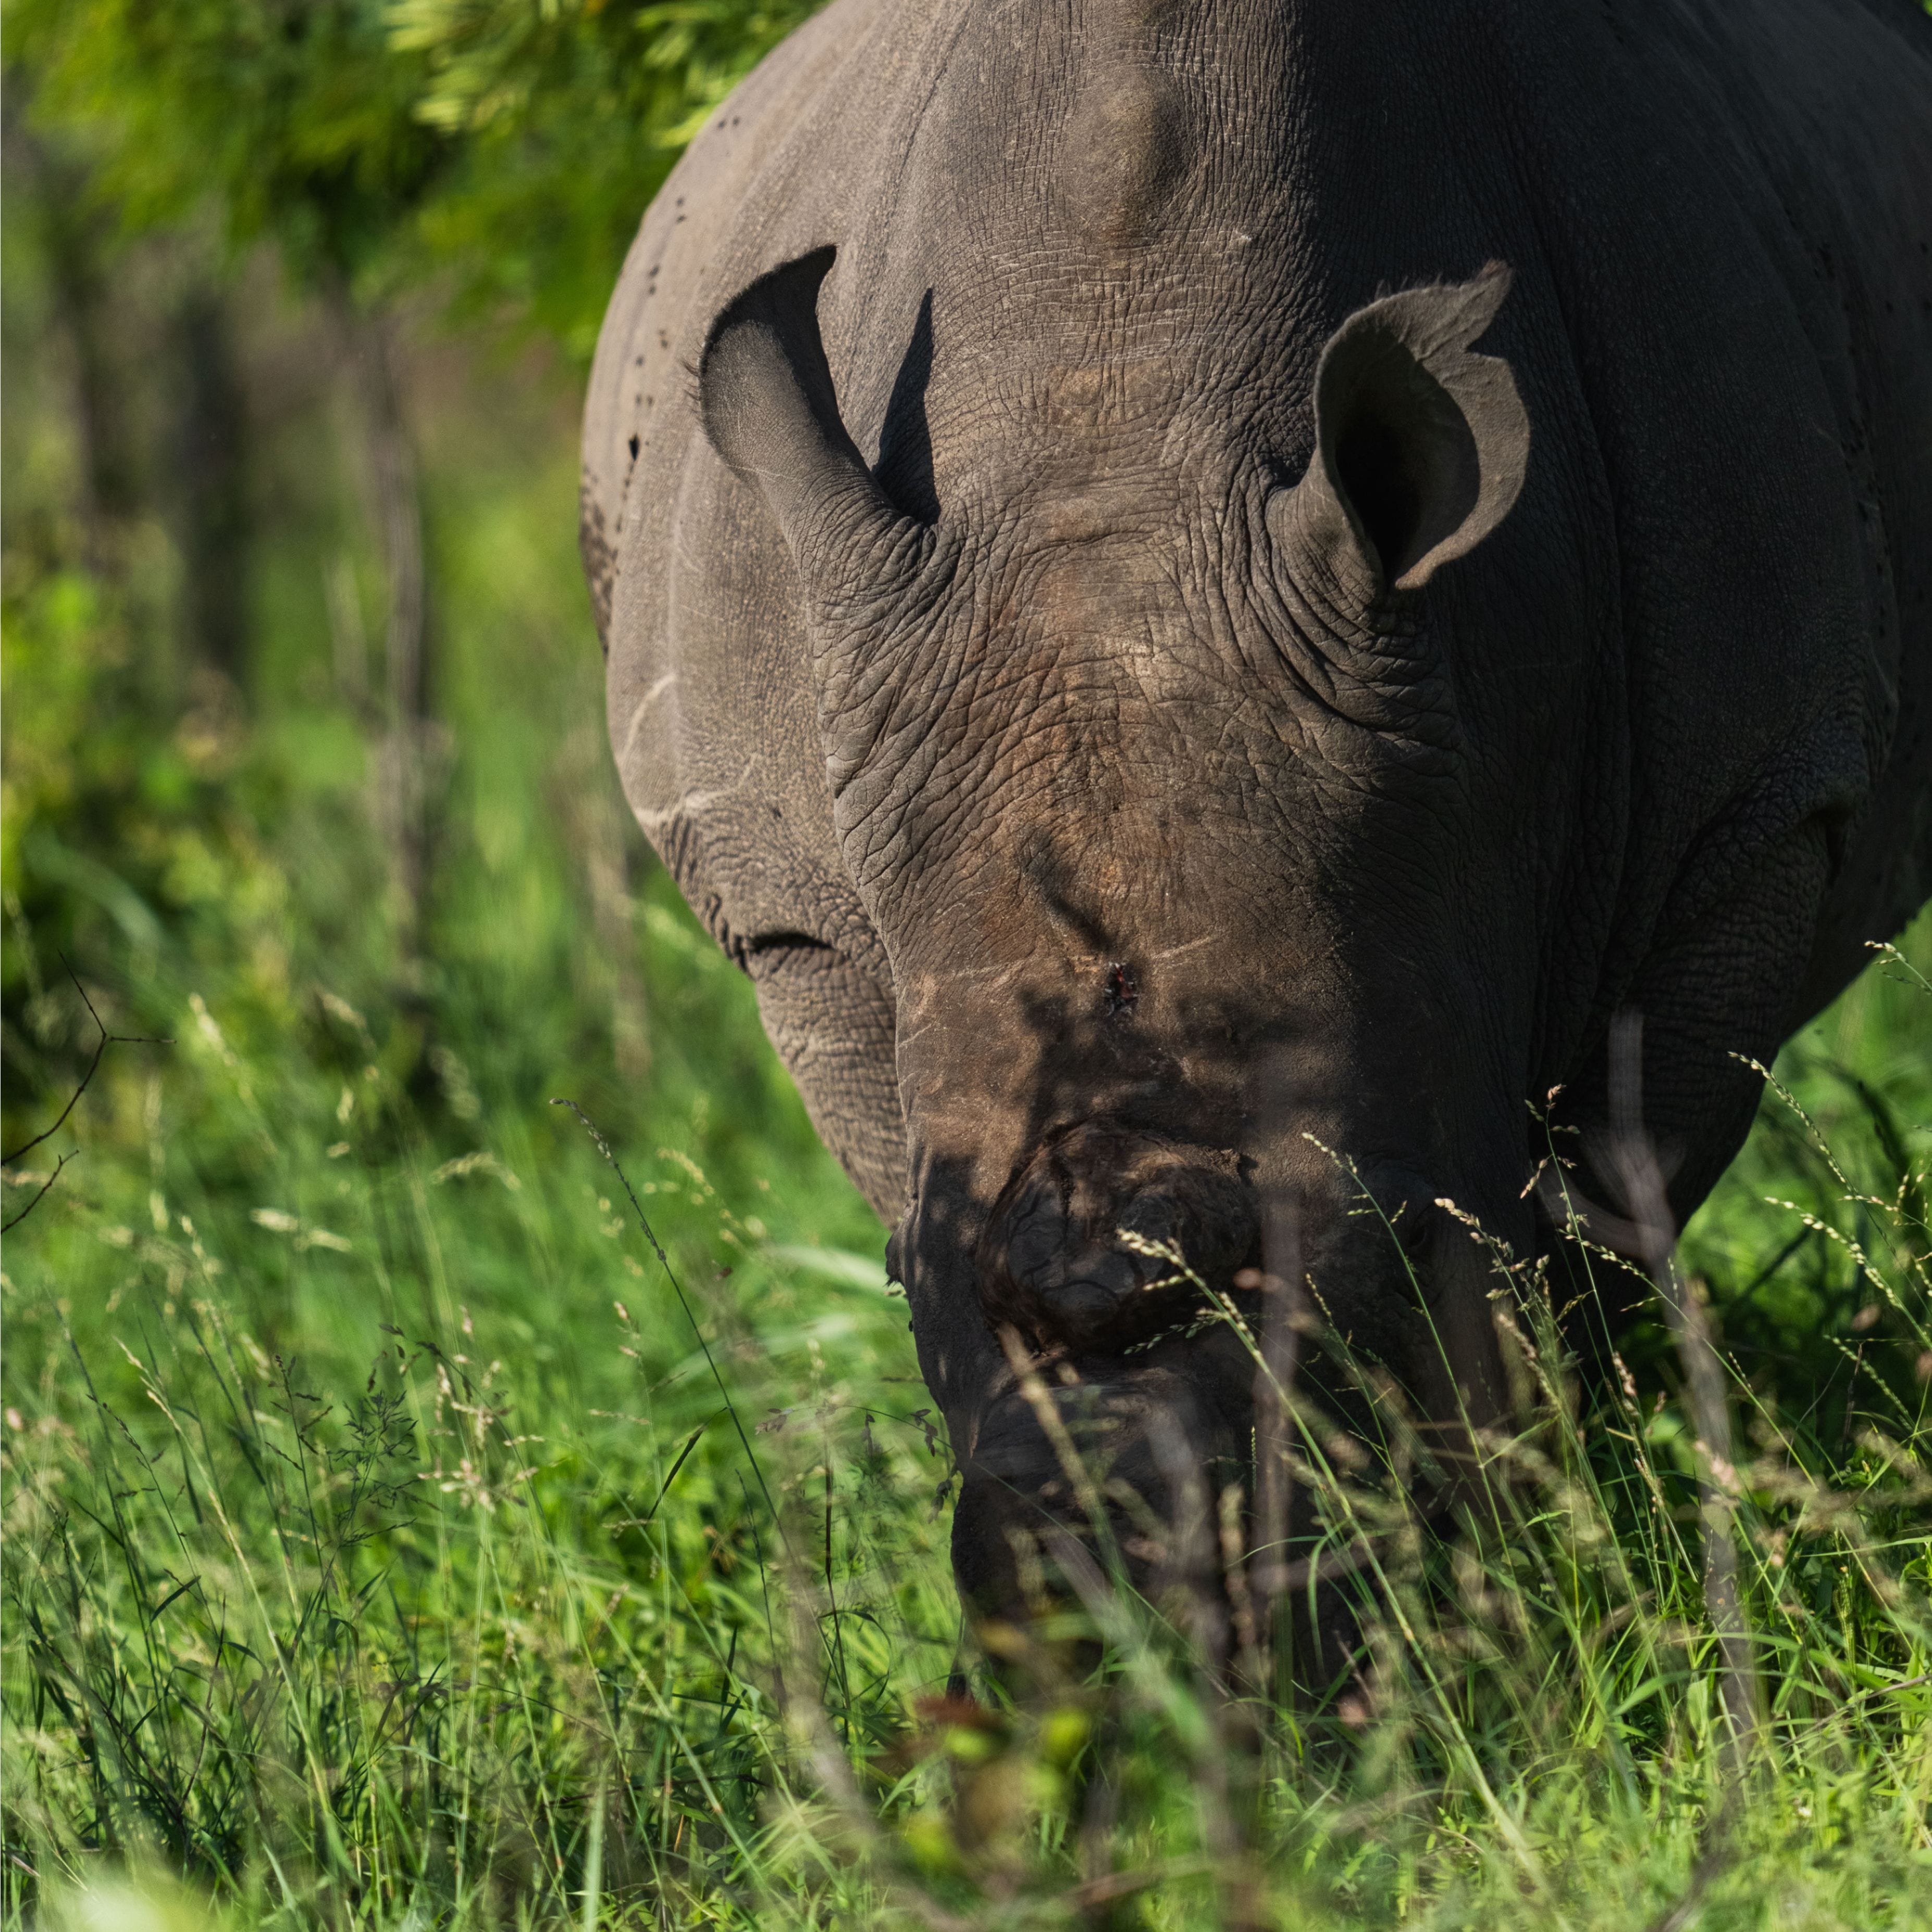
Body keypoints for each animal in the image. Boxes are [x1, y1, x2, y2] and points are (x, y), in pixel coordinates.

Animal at [581, 0, 1932, 1616]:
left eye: (1399, 1236)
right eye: (926, 1285)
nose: (1127, 1628)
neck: (1116, 428)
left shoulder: (1749, 822)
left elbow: (1617, 1197)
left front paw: (1573, 1509)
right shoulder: (797, 913)